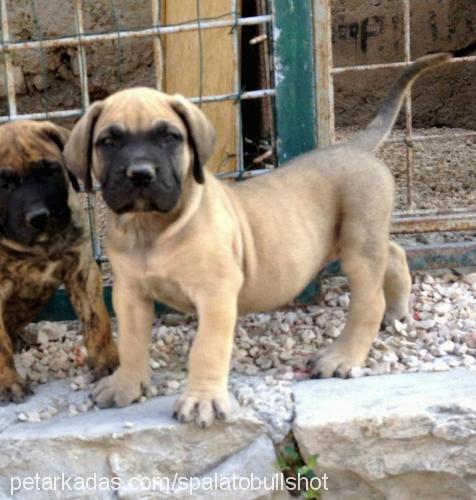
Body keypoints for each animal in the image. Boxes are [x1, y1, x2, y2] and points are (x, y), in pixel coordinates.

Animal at [0, 120, 118, 402]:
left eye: (51, 171)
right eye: (3, 185)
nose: (39, 217)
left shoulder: (81, 271)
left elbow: (97, 318)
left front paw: (107, 361)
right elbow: (0, 345)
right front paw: (8, 383)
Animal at [65, 51, 452, 426]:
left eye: (170, 137)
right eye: (108, 142)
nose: (141, 173)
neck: (151, 228)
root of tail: (354, 148)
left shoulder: (216, 294)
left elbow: (207, 349)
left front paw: (202, 399)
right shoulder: (129, 294)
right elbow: (131, 342)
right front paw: (125, 384)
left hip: (359, 243)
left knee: (369, 302)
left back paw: (342, 356)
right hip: (361, 238)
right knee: (395, 253)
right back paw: (398, 309)